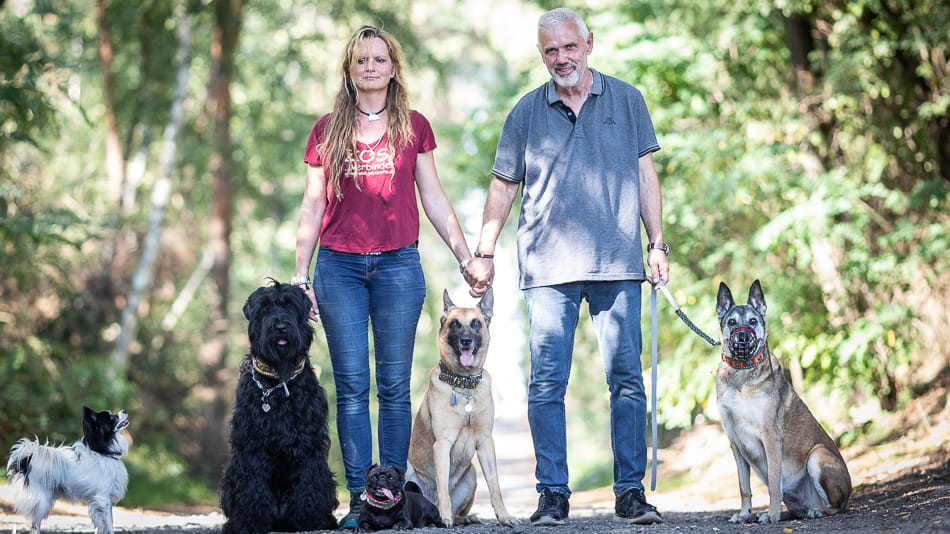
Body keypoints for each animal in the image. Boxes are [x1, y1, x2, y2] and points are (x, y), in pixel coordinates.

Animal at [6, 406, 130, 534]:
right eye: (111, 417)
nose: (124, 411)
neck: (104, 452)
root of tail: (28, 459)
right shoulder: (103, 498)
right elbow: (109, 524)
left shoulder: (100, 502)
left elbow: (102, 525)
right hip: (42, 501)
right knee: (35, 524)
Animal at [221, 282, 340, 532]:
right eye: (265, 308)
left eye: (290, 305)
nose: (281, 328)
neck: (277, 382)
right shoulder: (252, 444)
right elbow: (253, 485)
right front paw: (252, 521)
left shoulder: (308, 442)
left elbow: (308, 481)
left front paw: (310, 519)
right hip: (229, 479)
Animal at [406, 288, 516, 528]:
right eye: (455, 324)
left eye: (476, 324)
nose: (466, 341)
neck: (464, 384)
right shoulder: (442, 445)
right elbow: (443, 490)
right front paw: (444, 518)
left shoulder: (485, 442)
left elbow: (495, 486)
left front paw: (504, 516)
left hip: (472, 475)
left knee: (461, 512)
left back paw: (466, 518)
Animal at [712, 282, 856, 524]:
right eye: (732, 322)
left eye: (753, 321)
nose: (742, 338)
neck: (741, 374)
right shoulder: (735, 443)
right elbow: (744, 488)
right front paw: (744, 514)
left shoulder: (770, 437)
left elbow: (773, 484)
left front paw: (771, 515)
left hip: (817, 455)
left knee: (837, 506)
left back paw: (815, 511)